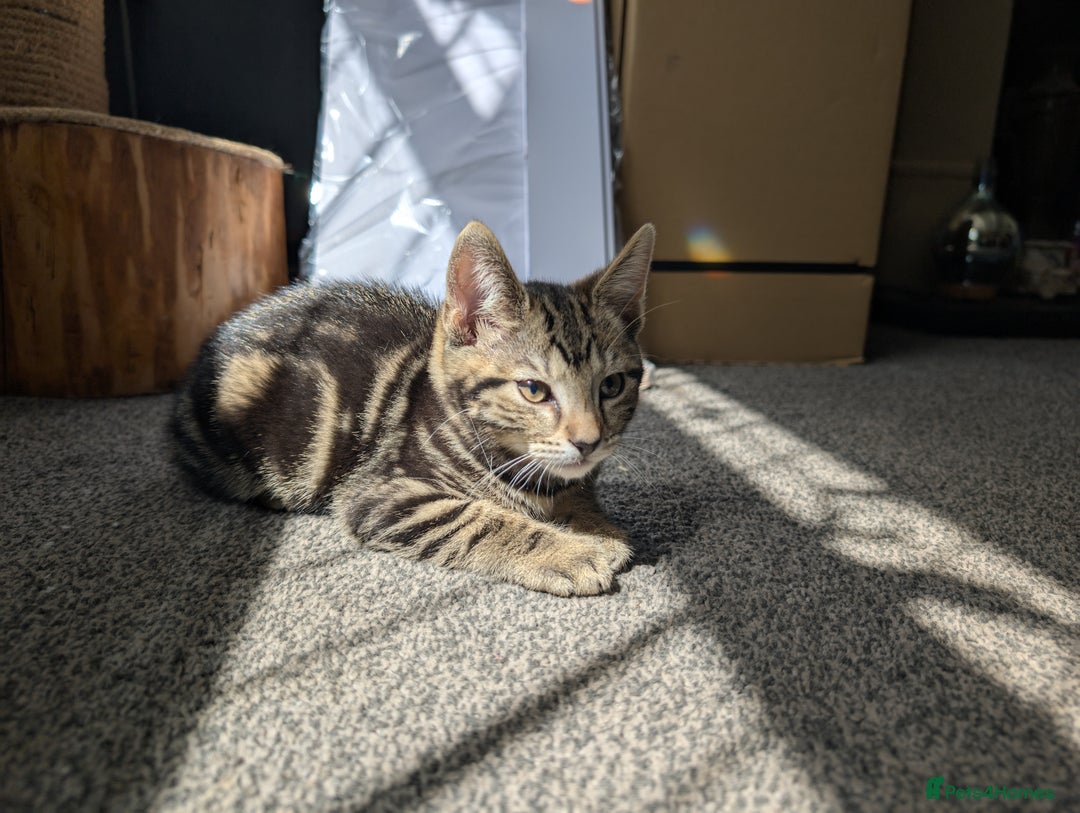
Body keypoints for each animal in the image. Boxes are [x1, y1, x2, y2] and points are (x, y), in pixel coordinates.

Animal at [171, 220, 655, 596]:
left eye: (612, 386)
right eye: (534, 390)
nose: (588, 441)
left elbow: (574, 490)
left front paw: (595, 525)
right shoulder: (382, 493)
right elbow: (479, 520)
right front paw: (568, 550)